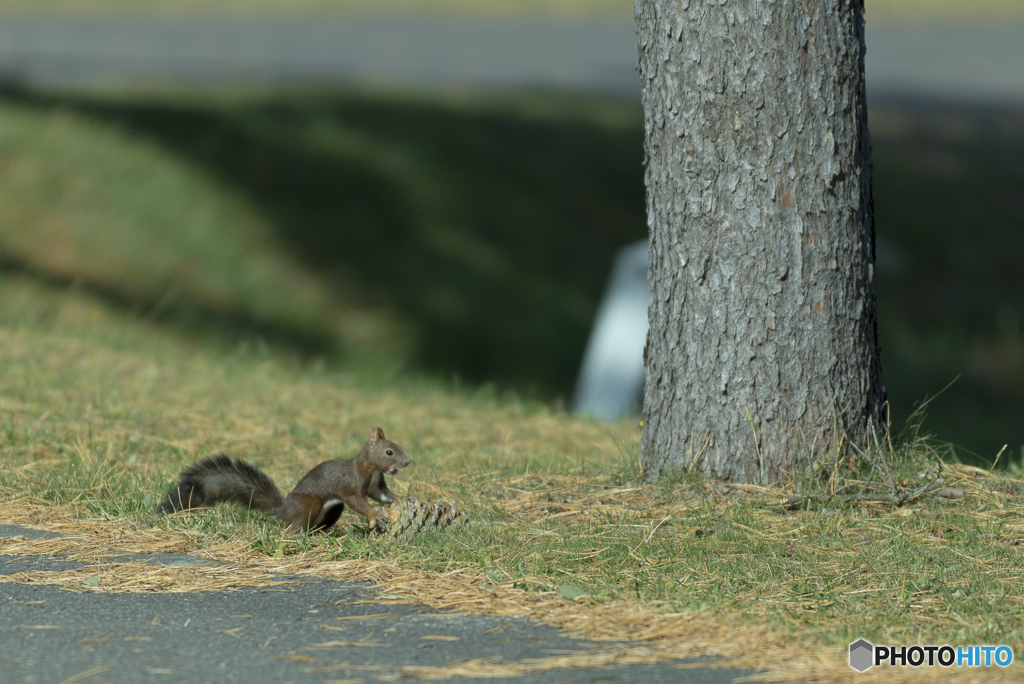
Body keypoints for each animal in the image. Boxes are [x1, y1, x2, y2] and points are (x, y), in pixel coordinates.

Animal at [157, 423, 409, 532]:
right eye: (389, 452)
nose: (407, 462)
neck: (371, 467)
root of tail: (283, 511)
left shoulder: (375, 485)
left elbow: (382, 495)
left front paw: (401, 500)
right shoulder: (352, 482)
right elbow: (357, 501)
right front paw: (376, 515)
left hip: (332, 510)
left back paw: (324, 533)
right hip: (309, 503)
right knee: (293, 526)